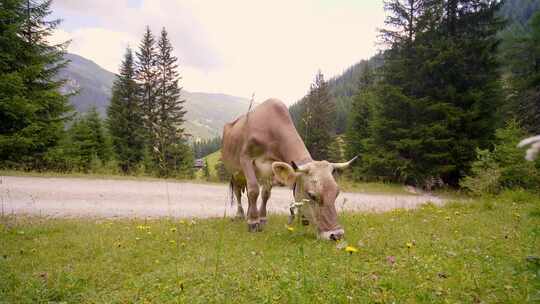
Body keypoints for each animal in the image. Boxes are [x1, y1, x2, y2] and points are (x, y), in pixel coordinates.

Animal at [221, 98, 356, 241]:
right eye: (311, 195)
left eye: (337, 193)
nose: (336, 235)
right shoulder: (246, 158)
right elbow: (253, 190)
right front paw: (253, 222)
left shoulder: (270, 169)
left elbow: (265, 194)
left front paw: (261, 219)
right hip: (234, 171)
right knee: (237, 192)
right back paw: (240, 215)